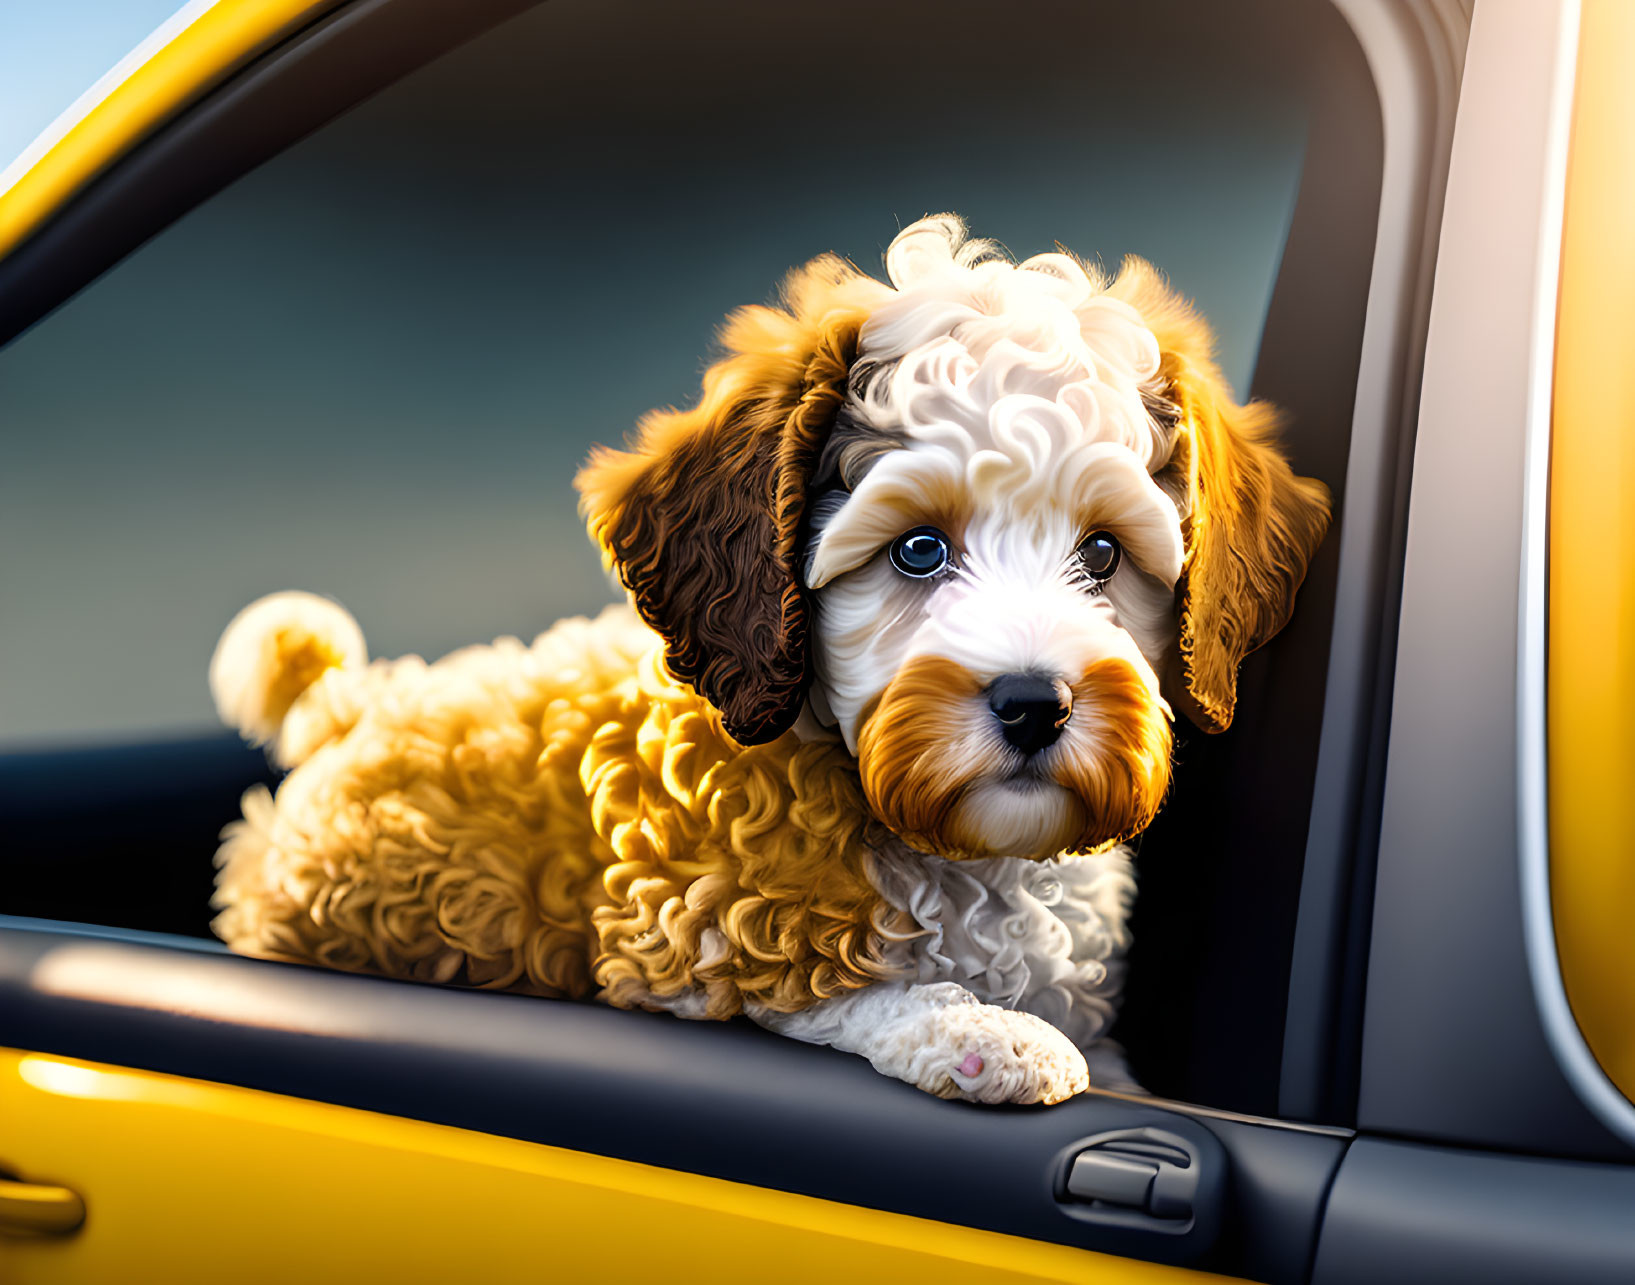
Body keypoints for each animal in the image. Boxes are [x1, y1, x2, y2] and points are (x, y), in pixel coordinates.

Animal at [210, 212, 1327, 1098]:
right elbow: (836, 984)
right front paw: (981, 1033)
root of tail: (353, 705)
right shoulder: (684, 928)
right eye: (917, 550)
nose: (1033, 703)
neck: (964, 852)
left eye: (1101, 553)